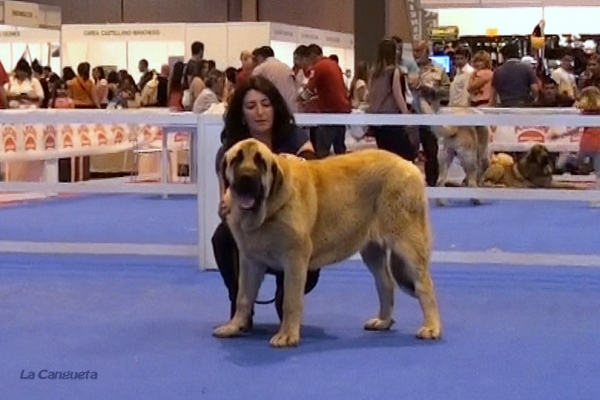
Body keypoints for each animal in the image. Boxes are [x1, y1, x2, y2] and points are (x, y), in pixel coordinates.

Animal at [213, 139, 442, 348]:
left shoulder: (294, 260)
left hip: (407, 243)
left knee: (425, 285)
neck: (267, 211)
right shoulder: (250, 261)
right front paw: (235, 326)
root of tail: (408, 164)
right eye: (237, 159)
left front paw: (287, 335)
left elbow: (290, 301)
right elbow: (243, 296)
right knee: (385, 282)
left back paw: (431, 327)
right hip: (372, 250)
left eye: (260, 161)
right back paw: (383, 321)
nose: (246, 177)